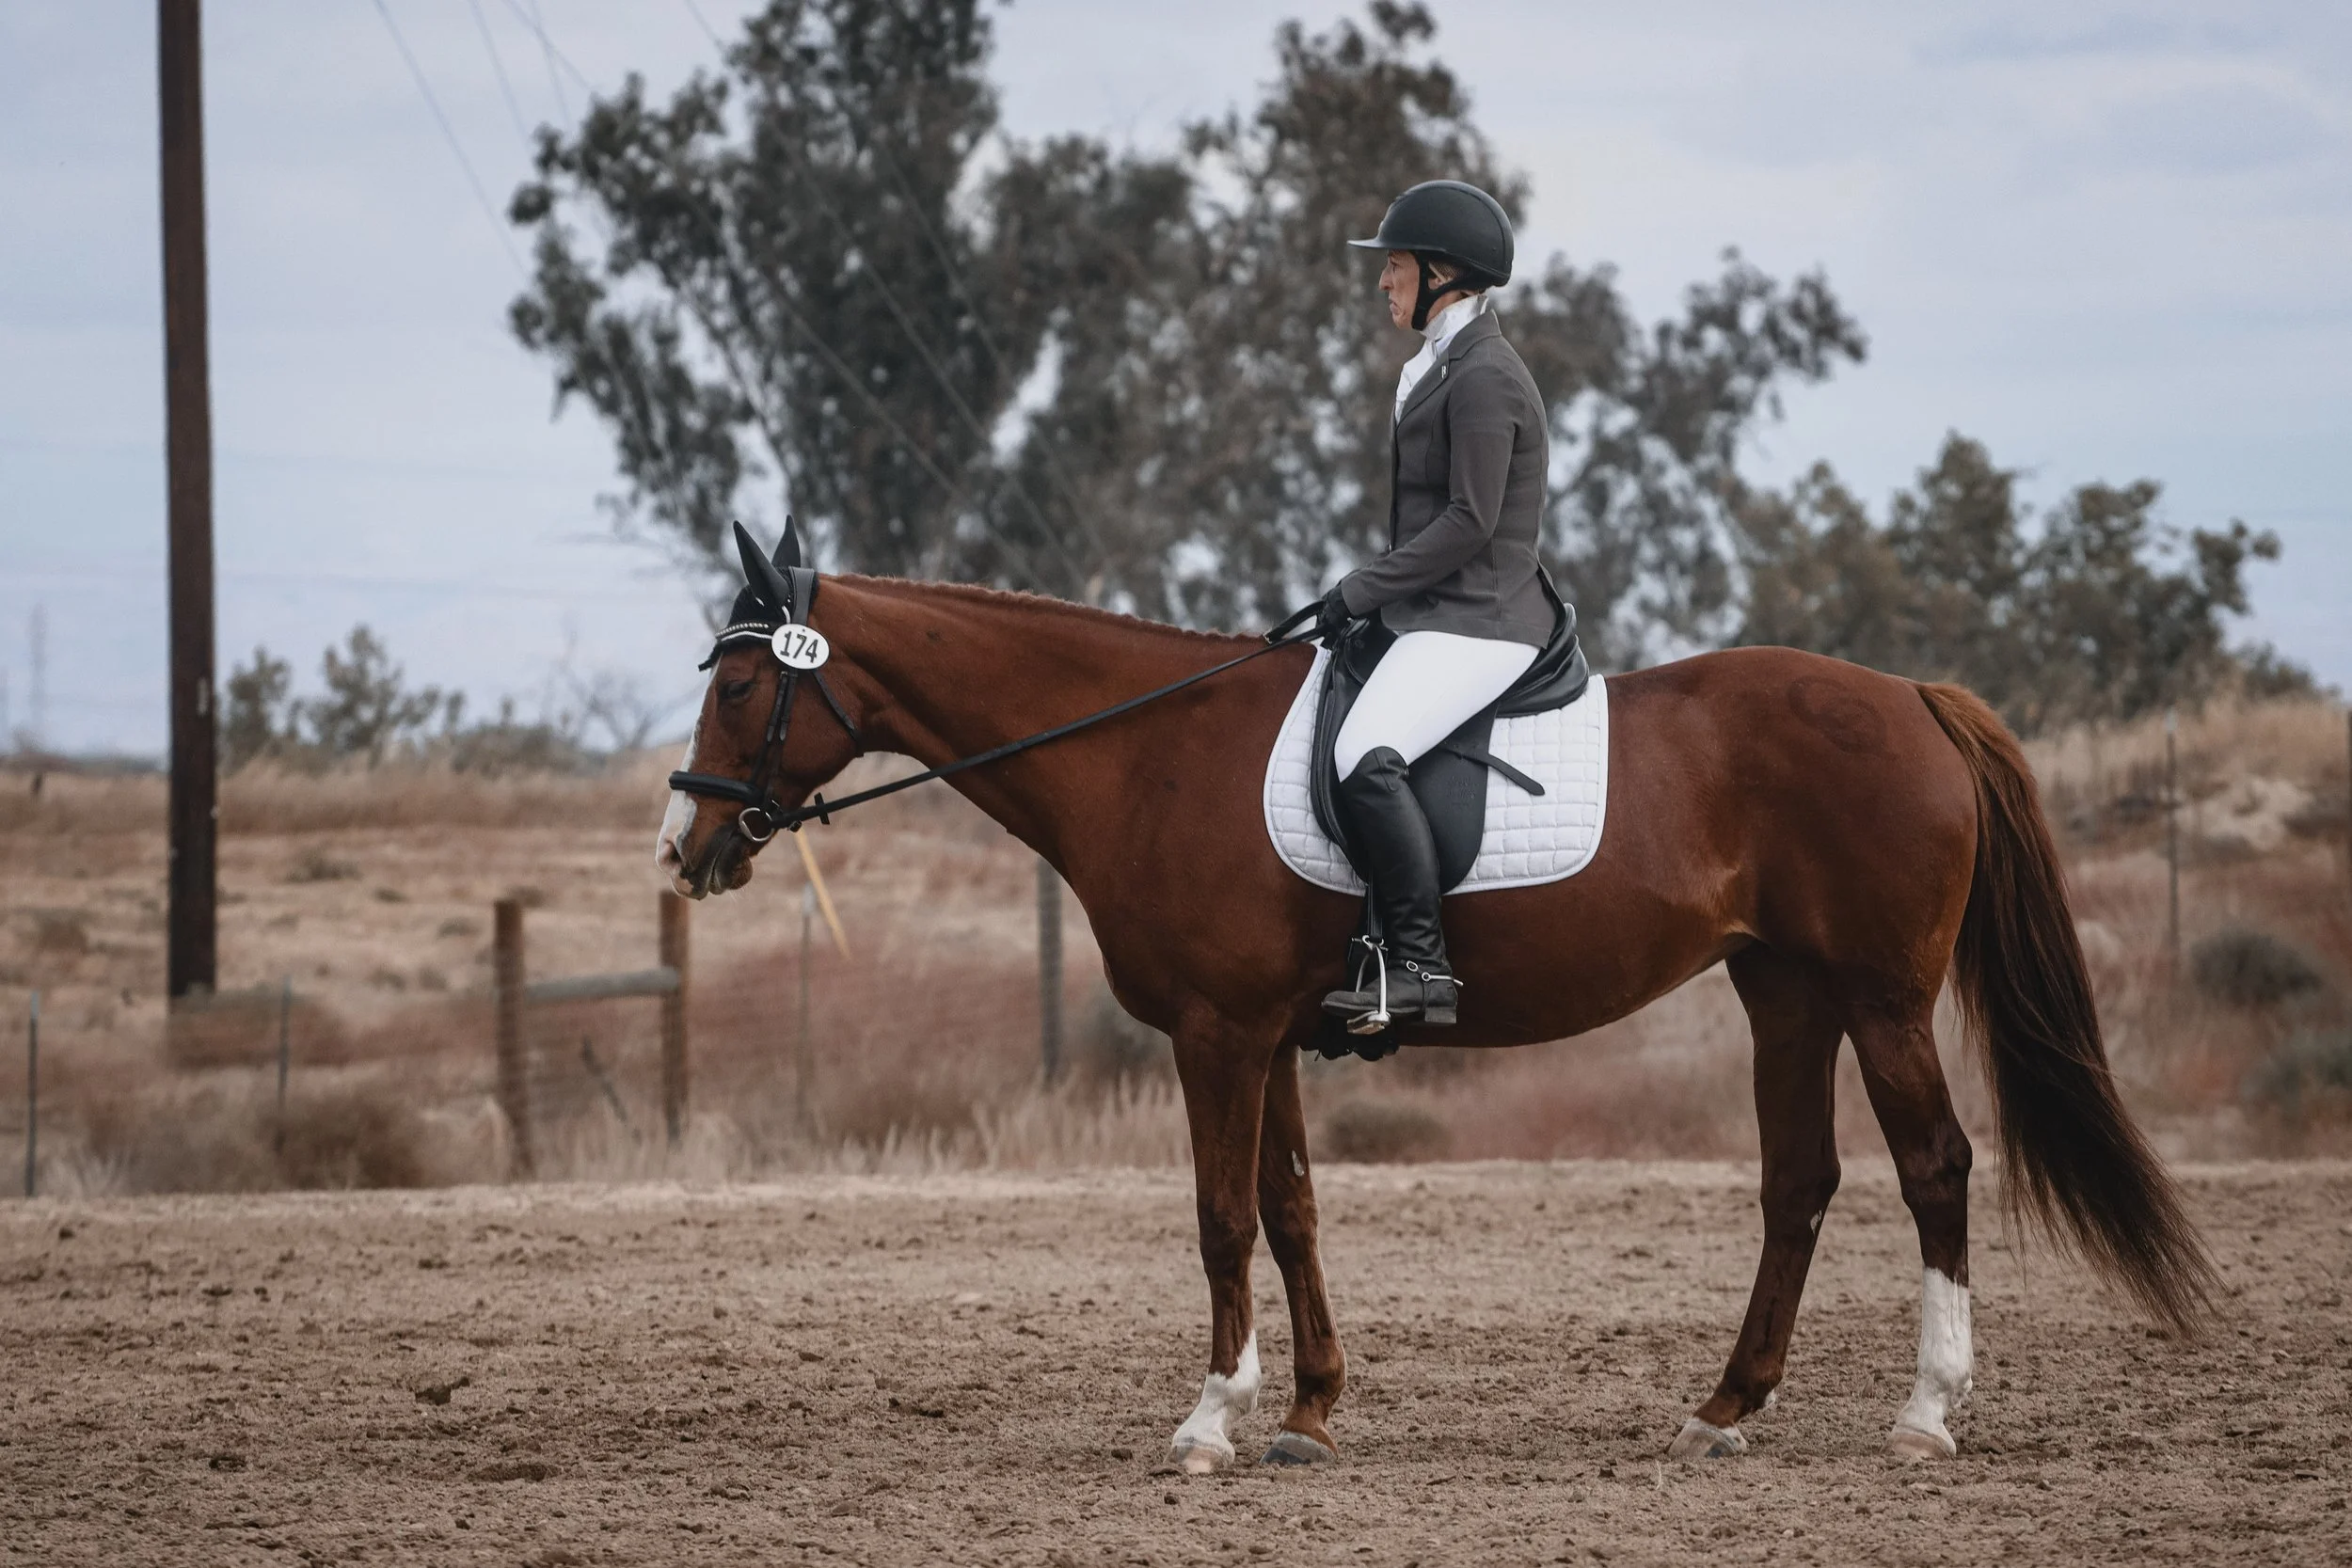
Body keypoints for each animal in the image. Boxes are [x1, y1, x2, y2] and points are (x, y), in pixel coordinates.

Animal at [656, 565, 2215, 1471]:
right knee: (1800, 1181)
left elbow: (1222, 1215)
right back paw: (1728, 1405)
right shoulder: (1271, 1034)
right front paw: (1307, 1407)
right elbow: (1290, 1207)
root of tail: (1908, 695)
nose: (690, 849)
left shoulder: (1218, 1032)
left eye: (737, 682)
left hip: (1883, 997)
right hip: (1785, 993)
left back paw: (1926, 1412)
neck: (1149, 751)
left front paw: (1210, 1420)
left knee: (1935, 1167)